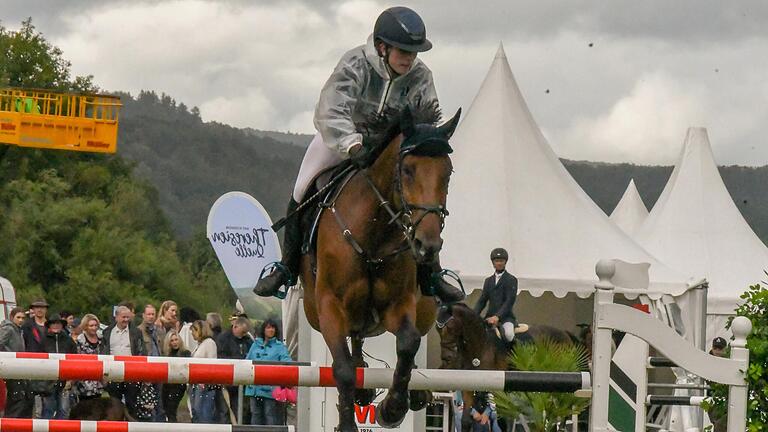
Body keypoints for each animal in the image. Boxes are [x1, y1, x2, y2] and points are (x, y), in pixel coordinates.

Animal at [300, 104, 460, 432]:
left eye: (448, 172)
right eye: (408, 170)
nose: (428, 245)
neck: (373, 234)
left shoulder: (398, 305)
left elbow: (409, 342)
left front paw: (393, 408)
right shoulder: (329, 307)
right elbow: (343, 369)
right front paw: (348, 422)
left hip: (424, 308)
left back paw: (415, 394)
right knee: (354, 344)